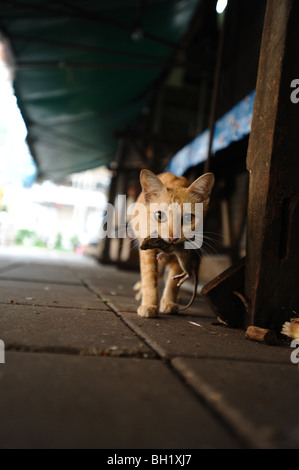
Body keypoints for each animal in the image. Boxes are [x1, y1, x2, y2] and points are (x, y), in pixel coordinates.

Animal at [134, 167, 216, 318]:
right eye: (159, 216)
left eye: (189, 218)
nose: (173, 236)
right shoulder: (148, 249)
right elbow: (149, 277)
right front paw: (149, 305)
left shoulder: (182, 253)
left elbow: (173, 280)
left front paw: (168, 302)